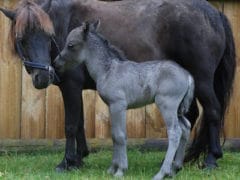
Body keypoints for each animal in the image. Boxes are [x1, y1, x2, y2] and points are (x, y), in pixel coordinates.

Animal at [0, 0, 235, 172]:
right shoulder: (76, 90)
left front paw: (66, 163)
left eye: (48, 36)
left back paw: (211, 159)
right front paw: (80, 158)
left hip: (203, 81)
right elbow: (80, 123)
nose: (42, 77)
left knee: (213, 112)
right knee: (190, 117)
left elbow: (70, 125)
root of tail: (213, 12)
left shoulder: (71, 87)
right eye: (21, 39)